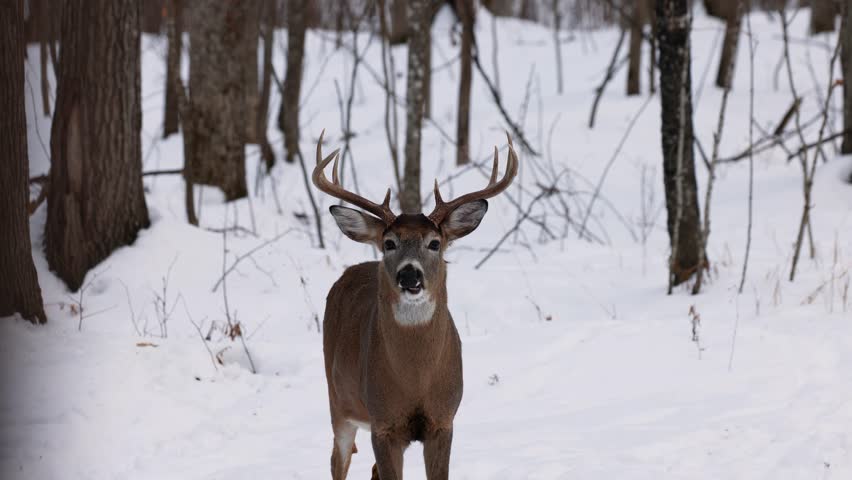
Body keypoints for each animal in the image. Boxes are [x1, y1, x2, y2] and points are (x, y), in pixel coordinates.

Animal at [313, 130, 518, 480]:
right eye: (389, 243)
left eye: (434, 243)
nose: (409, 274)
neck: (416, 379)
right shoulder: (383, 423)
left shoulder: (443, 420)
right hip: (337, 403)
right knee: (337, 461)